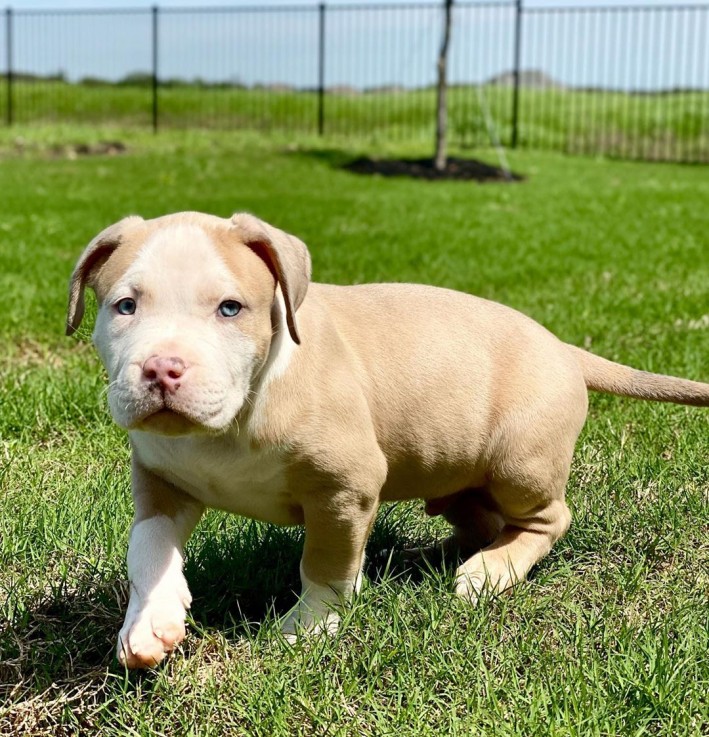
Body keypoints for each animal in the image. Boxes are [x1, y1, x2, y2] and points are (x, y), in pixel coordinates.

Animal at [68, 211, 708, 668]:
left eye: (230, 308)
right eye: (125, 306)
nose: (162, 369)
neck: (233, 418)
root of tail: (564, 347)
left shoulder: (344, 488)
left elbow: (325, 564)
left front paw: (308, 627)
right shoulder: (159, 480)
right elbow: (147, 547)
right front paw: (149, 622)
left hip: (519, 460)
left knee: (547, 519)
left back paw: (489, 571)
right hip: (451, 473)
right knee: (478, 517)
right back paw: (430, 556)